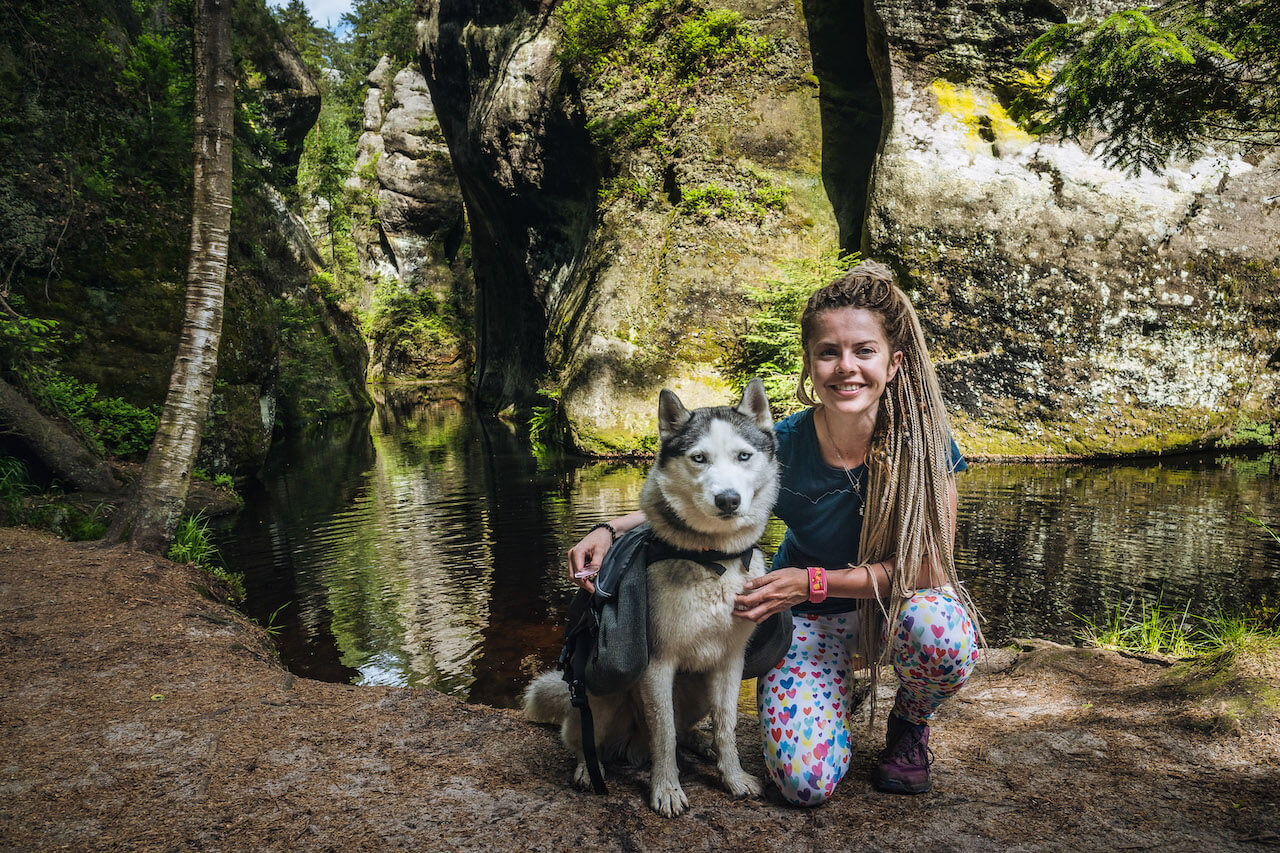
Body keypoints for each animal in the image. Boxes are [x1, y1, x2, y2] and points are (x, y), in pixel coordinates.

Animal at [523, 378, 780, 817]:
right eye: (699, 458)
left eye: (744, 456)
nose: (728, 499)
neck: (711, 559)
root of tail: (633, 747)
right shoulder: (657, 664)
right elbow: (664, 734)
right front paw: (666, 789)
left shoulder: (730, 661)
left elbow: (725, 726)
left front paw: (732, 777)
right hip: (601, 695)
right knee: (583, 739)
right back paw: (588, 769)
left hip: (696, 688)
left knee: (687, 727)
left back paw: (698, 743)